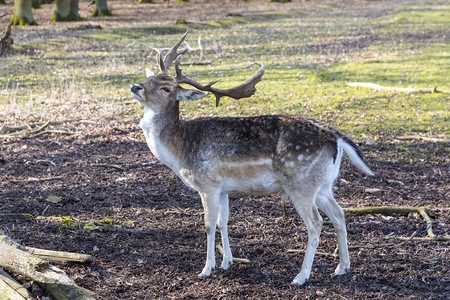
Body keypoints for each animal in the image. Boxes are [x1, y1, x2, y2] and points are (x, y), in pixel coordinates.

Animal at [129, 31, 372, 284]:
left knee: (316, 223)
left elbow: (208, 225)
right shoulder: (223, 188)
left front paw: (207, 268)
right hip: (324, 183)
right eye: (150, 78)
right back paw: (342, 266)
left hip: (301, 183)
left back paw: (301, 276)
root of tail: (336, 137)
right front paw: (226, 262)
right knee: (339, 214)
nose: (135, 86)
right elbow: (223, 222)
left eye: (166, 88)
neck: (180, 150)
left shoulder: (208, 183)